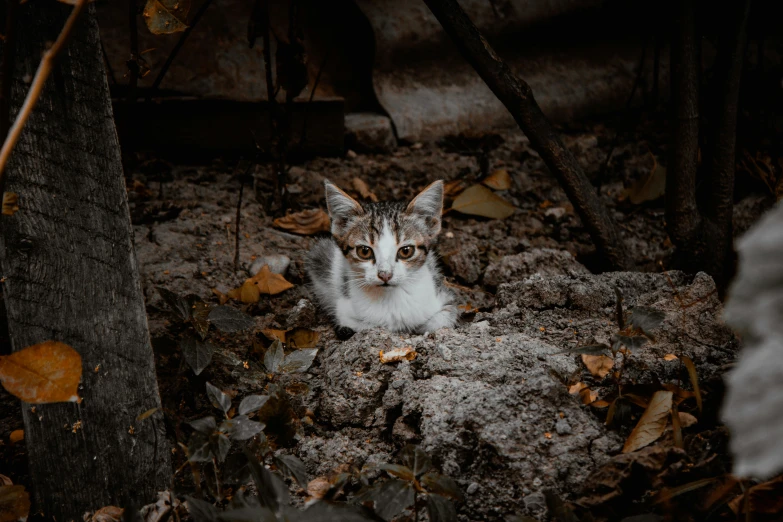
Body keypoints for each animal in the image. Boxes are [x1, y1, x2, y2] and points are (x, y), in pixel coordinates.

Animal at [304, 177, 456, 336]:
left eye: (406, 251)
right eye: (364, 251)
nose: (385, 275)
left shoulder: (444, 296)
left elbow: (442, 319)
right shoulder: (344, 310)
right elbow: (365, 326)